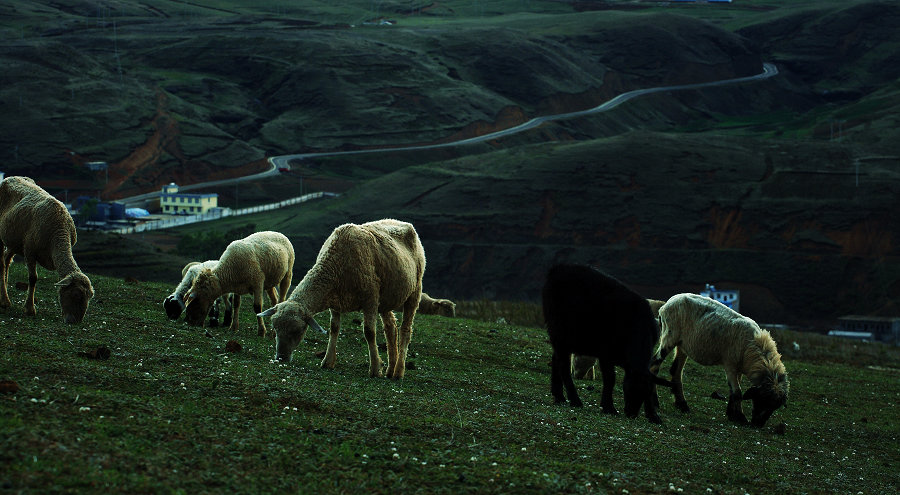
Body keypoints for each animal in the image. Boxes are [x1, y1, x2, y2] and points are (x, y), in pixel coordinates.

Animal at [0, 176, 94, 324]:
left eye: (89, 297)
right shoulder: (29, 250)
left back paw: (5, 299)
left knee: (6, 260)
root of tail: (10, 177)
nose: (74, 322)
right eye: (76, 294)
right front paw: (29, 309)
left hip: (14, 242)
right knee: (2, 263)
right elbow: (33, 278)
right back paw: (4, 301)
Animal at [256, 218, 426, 380]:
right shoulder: (335, 301)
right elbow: (334, 329)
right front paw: (327, 361)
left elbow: (369, 332)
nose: (281, 358)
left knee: (405, 330)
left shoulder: (370, 298)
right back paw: (390, 369)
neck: (334, 265)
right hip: (386, 298)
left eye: (298, 330)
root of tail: (400, 222)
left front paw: (375, 369)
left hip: (414, 291)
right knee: (391, 327)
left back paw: (398, 372)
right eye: (275, 328)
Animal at [540, 266, 668, 424]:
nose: (631, 414)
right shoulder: (606, 354)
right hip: (559, 332)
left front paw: (653, 415)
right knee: (563, 366)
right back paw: (574, 400)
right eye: (630, 388)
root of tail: (558, 268)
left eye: (645, 393)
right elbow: (610, 379)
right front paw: (609, 407)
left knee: (556, 360)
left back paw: (559, 396)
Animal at [652, 292, 788, 428]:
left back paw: (682, 404)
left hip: (682, 346)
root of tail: (666, 305)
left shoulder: (738, 368)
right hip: (669, 336)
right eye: (763, 399)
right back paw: (656, 402)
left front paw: (731, 414)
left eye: (775, 407)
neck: (753, 348)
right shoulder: (730, 365)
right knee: (655, 364)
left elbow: (733, 391)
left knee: (676, 371)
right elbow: (738, 392)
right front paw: (740, 417)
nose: (758, 424)